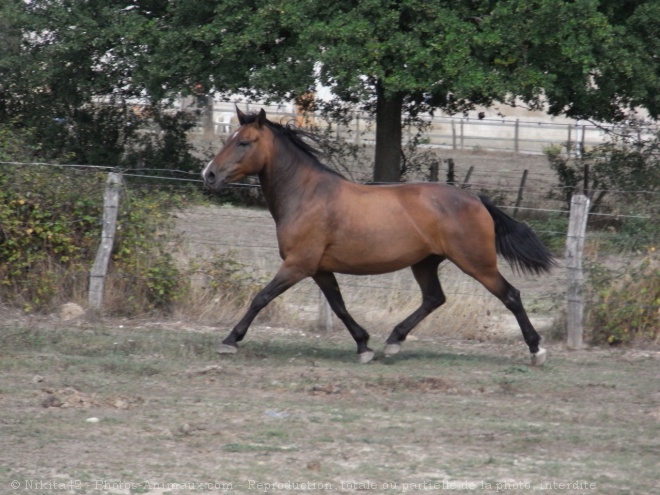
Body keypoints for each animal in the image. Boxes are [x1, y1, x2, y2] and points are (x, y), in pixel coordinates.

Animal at [202, 108, 556, 366]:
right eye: (229, 138)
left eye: (244, 142)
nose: (209, 174)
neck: (306, 195)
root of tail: (476, 199)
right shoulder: (319, 269)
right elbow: (339, 306)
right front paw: (364, 346)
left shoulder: (298, 265)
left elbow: (261, 297)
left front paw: (229, 341)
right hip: (425, 263)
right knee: (434, 298)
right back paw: (393, 342)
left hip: (476, 263)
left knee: (510, 295)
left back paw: (537, 351)